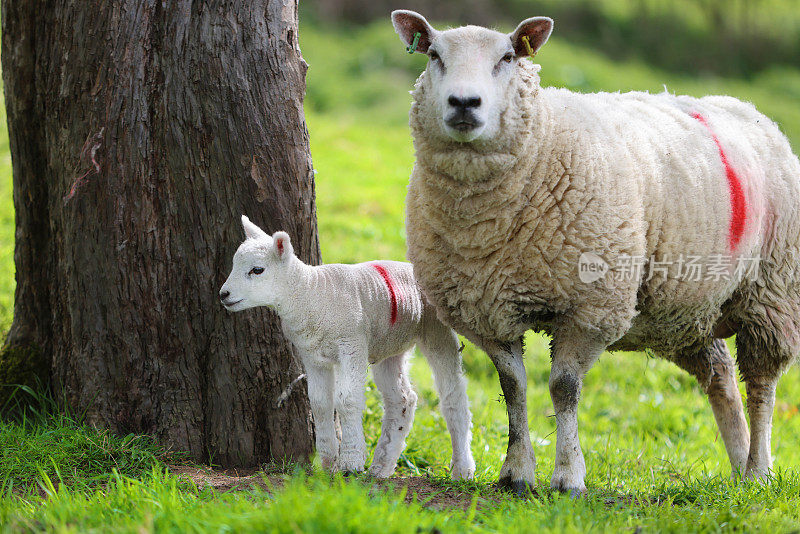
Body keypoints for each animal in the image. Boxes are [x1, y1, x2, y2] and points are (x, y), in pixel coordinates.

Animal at [217, 216, 476, 480]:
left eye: (257, 270)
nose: (223, 294)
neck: (310, 295)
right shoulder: (312, 355)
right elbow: (320, 404)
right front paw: (327, 463)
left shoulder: (351, 345)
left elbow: (347, 400)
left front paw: (351, 461)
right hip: (389, 344)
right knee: (402, 399)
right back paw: (381, 466)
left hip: (436, 330)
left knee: (453, 396)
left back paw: (462, 469)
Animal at [392, 10, 800, 498]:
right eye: (434, 54)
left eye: (507, 57)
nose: (464, 103)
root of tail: (751, 111)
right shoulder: (487, 311)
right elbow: (513, 387)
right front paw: (516, 473)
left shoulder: (590, 308)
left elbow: (564, 388)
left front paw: (568, 477)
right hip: (690, 310)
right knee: (721, 378)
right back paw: (739, 467)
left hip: (771, 292)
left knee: (762, 385)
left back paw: (759, 469)